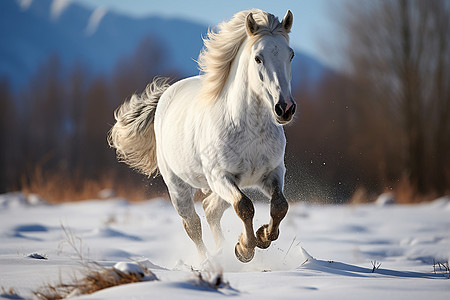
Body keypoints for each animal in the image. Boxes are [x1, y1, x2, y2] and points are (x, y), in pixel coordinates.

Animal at [110, 8, 296, 262]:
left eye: (291, 55)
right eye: (258, 57)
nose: (284, 108)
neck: (250, 130)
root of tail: (166, 95)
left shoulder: (272, 173)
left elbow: (280, 206)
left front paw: (263, 236)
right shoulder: (220, 176)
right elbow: (244, 206)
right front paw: (245, 248)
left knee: (210, 209)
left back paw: (222, 249)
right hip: (178, 187)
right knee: (193, 224)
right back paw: (208, 260)